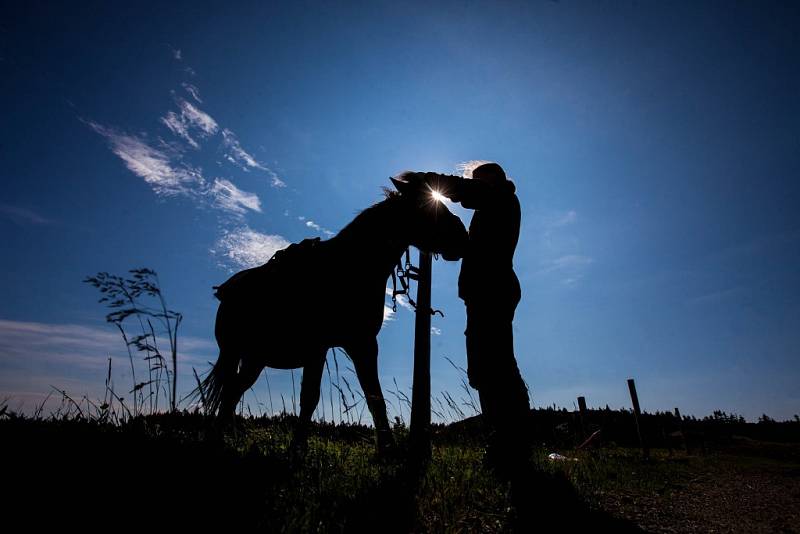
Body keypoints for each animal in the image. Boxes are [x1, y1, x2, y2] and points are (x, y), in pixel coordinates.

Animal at [198, 175, 468, 452]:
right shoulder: (319, 347)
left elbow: (375, 397)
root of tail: (226, 292)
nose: (463, 236)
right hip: (237, 353)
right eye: (429, 208)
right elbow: (310, 397)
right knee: (229, 392)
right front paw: (297, 449)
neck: (348, 268)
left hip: (254, 359)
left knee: (232, 392)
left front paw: (387, 449)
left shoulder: (362, 344)